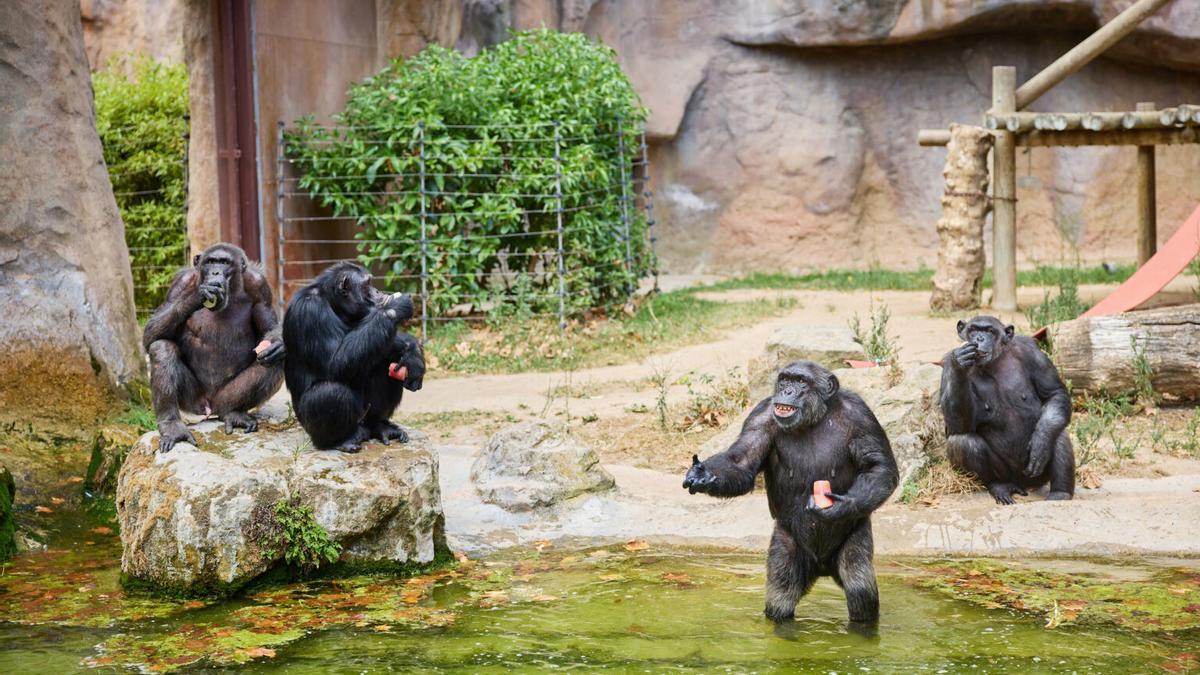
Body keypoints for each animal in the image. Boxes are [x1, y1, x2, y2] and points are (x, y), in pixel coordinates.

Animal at [142, 241, 285, 451]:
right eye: (210, 261)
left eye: (224, 262)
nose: (215, 273)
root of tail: (211, 406)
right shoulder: (180, 283)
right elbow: (151, 333)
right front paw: (199, 294)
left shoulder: (261, 287)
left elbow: (270, 328)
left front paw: (278, 344)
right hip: (195, 401)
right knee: (161, 348)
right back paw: (172, 427)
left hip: (226, 397)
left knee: (273, 363)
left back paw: (233, 413)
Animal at [282, 260, 427, 449]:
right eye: (367, 284)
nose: (377, 291)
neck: (334, 304)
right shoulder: (310, 310)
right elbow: (336, 362)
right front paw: (395, 307)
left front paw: (413, 354)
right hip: (315, 428)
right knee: (331, 393)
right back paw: (340, 441)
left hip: (366, 415)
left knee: (384, 363)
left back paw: (379, 425)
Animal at [681, 360, 897, 624]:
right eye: (785, 379)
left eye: (801, 381)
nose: (787, 390)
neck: (814, 418)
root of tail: (822, 569)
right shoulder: (760, 416)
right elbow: (742, 462)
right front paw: (702, 475)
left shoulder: (861, 416)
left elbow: (878, 466)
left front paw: (840, 506)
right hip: (787, 543)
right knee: (781, 594)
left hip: (856, 535)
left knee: (860, 588)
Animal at [936, 314, 1080, 499]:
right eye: (973, 329)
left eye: (990, 331)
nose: (979, 338)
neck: (994, 362)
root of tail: (1023, 485)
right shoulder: (946, 364)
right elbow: (956, 426)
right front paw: (961, 362)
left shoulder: (1032, 353)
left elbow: (1054, 393)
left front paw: (1040, 444)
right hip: (1006, 474)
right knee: (963, 442)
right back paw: (999, 486)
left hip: (1037, 476)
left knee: (1057, 431)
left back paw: (1060, 493)